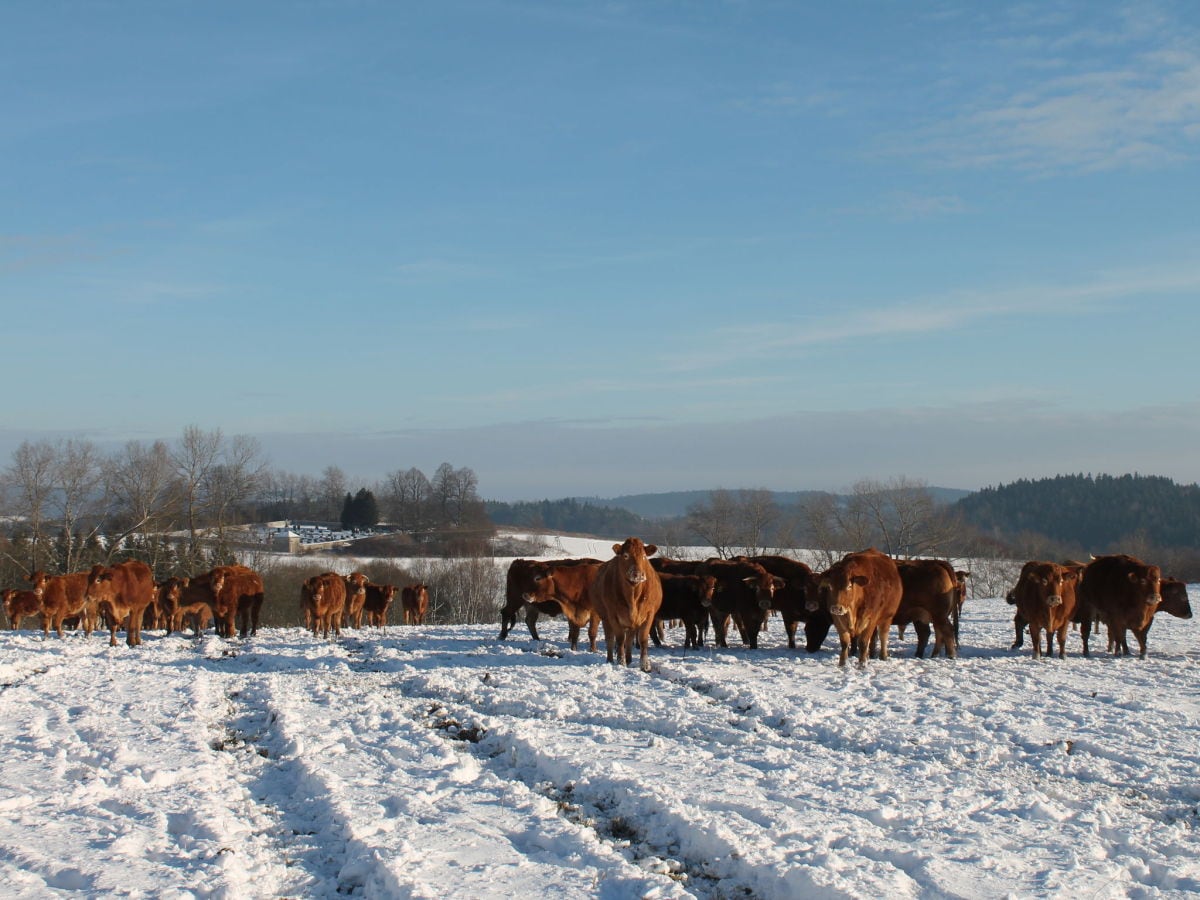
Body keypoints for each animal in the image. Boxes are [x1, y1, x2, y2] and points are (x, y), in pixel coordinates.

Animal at [588, 540, 667, 672]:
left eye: (644, 556)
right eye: (625, 556)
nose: (638, 574)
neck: (633, 596)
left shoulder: (649, 614)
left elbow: (643, 639)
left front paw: (645, 665)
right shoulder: (613, 615)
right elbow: (619, 639)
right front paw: (621, 662)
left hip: (632, 624)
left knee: (629, 639)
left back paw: (629, 659)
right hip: (605, 618)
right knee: (610, 639)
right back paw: (610, 660)